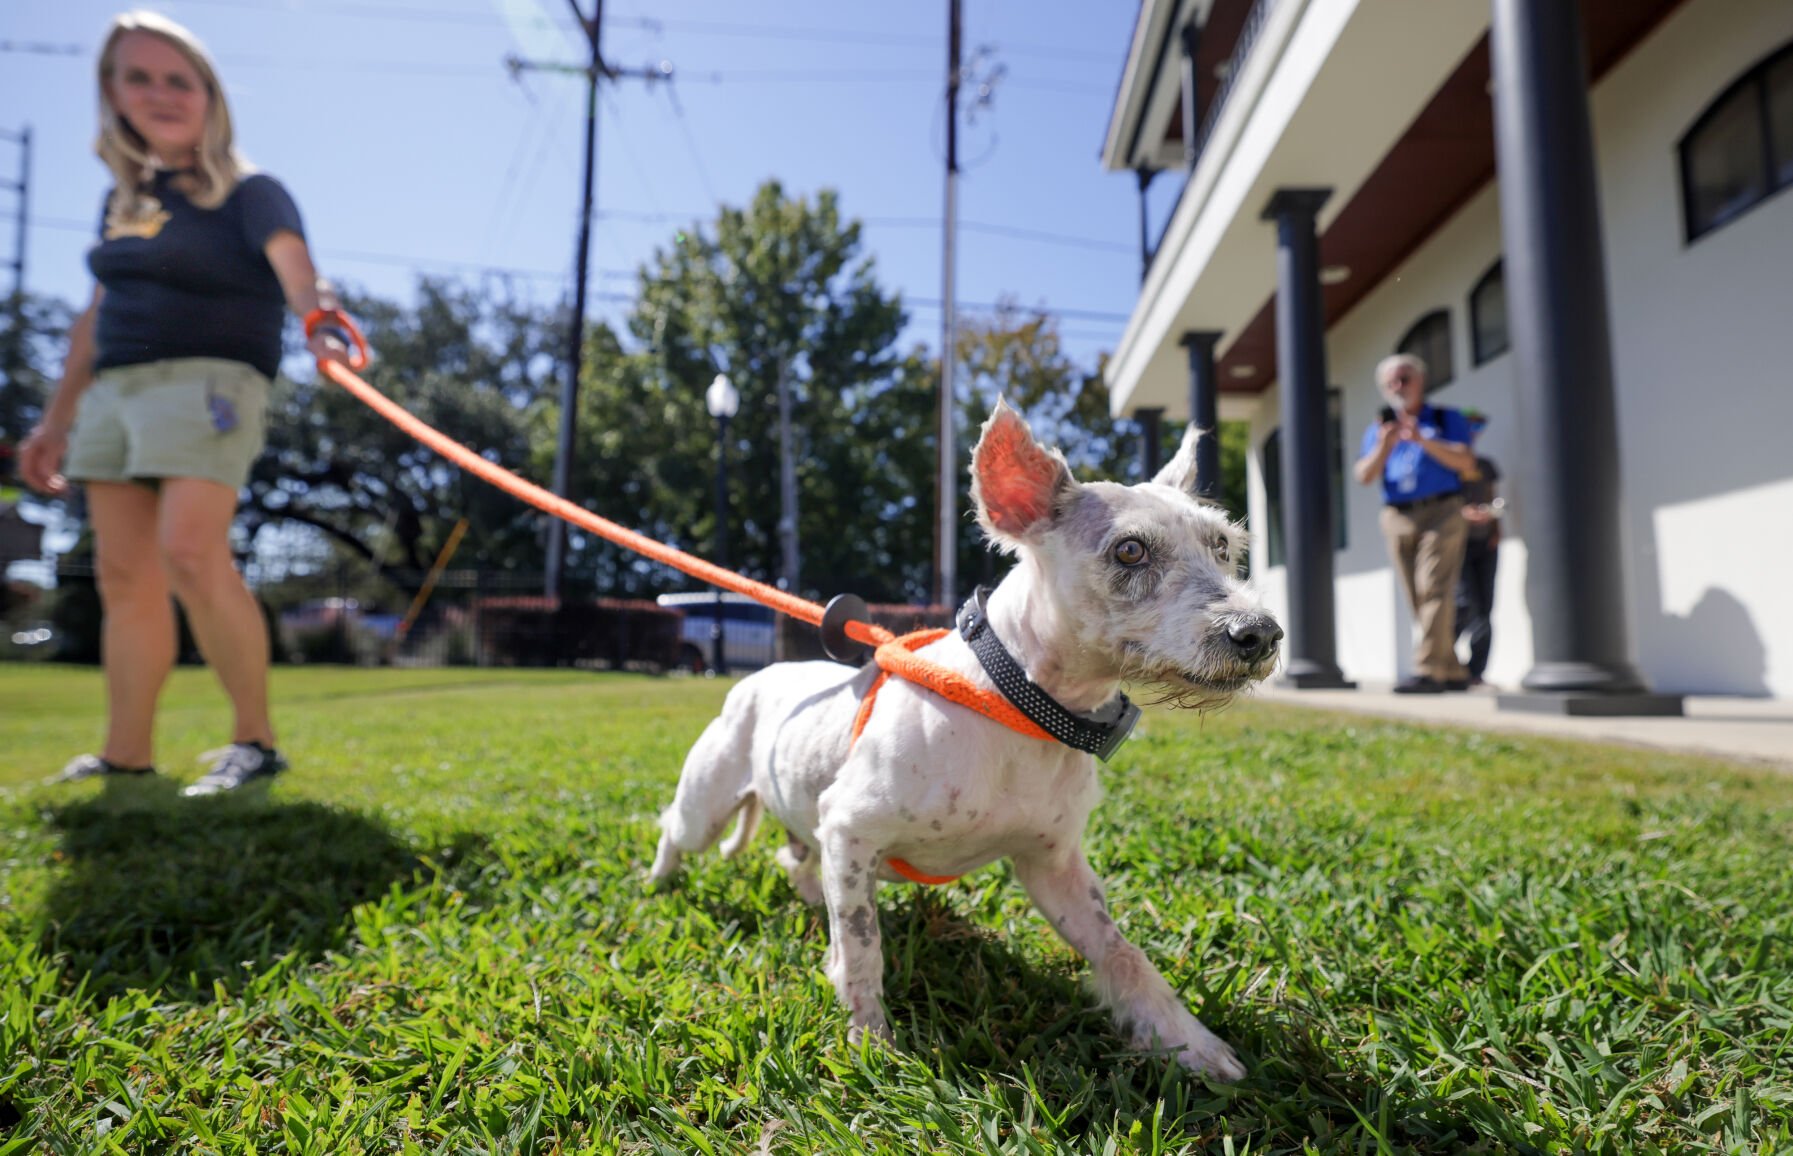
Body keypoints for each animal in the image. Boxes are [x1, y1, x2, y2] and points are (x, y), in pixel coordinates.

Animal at [652, 401, 1283, 1075]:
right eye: (1131, 551)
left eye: (1224, 546)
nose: (1260, 633)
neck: (1017, 707)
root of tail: (759, 675)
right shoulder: (849, 830)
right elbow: (861, 950)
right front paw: (871, 1045)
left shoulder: (1053, 864)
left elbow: (1124, 955)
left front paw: (1190, 1042)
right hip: (706, 808)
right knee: (674, 829)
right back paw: (659, 884)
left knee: (792, 859)